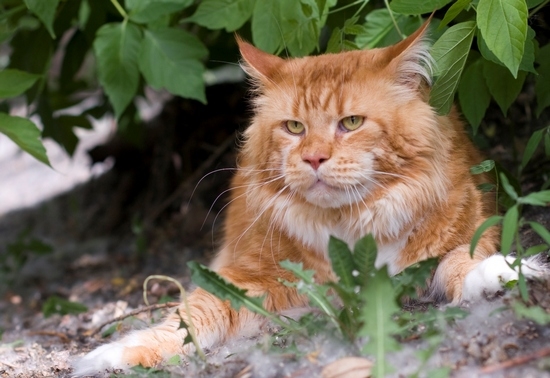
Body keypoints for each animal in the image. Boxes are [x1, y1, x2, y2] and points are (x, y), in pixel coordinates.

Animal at [73, 21, 544, 376]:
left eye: (351, 123)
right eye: (295, 127)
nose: (314, 157)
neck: (351, 230)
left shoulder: (463, 236)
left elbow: (461, 262)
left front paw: (499, 273)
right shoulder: (249, 276)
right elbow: (192, 315)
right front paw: (114, 354)